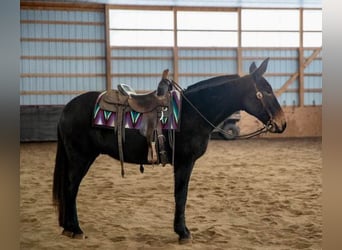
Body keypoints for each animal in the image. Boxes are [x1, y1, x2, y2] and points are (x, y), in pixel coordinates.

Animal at [52, 58, 286, 242]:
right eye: (266, 91)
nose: (282, 123)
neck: (192, 112)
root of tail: (67, 108)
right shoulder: (184, 162)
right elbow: (181, 195)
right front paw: (183, 232)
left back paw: (68, 227)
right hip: (80, 157)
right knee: (71, 188)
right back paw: (75, 229)